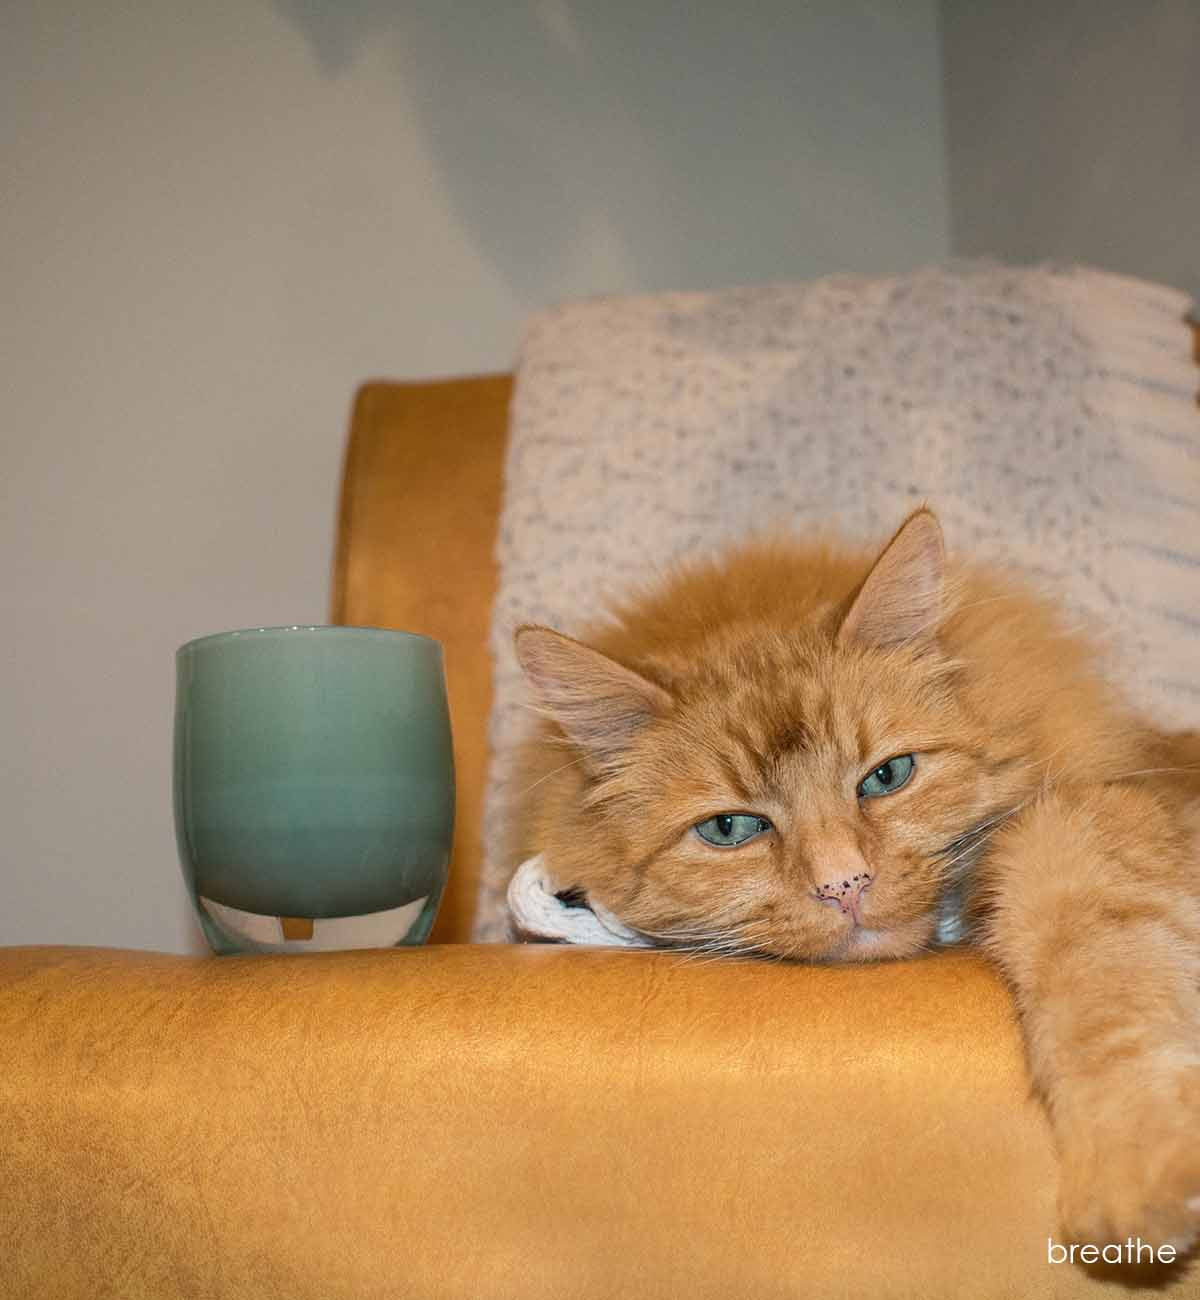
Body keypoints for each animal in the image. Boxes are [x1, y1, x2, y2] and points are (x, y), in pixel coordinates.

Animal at [512, 506, 1200, 1248]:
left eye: (887, 776)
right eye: (729, 829)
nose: (845, 884)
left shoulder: (1079, 823)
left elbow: (1103, 990)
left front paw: (1135, 1175)